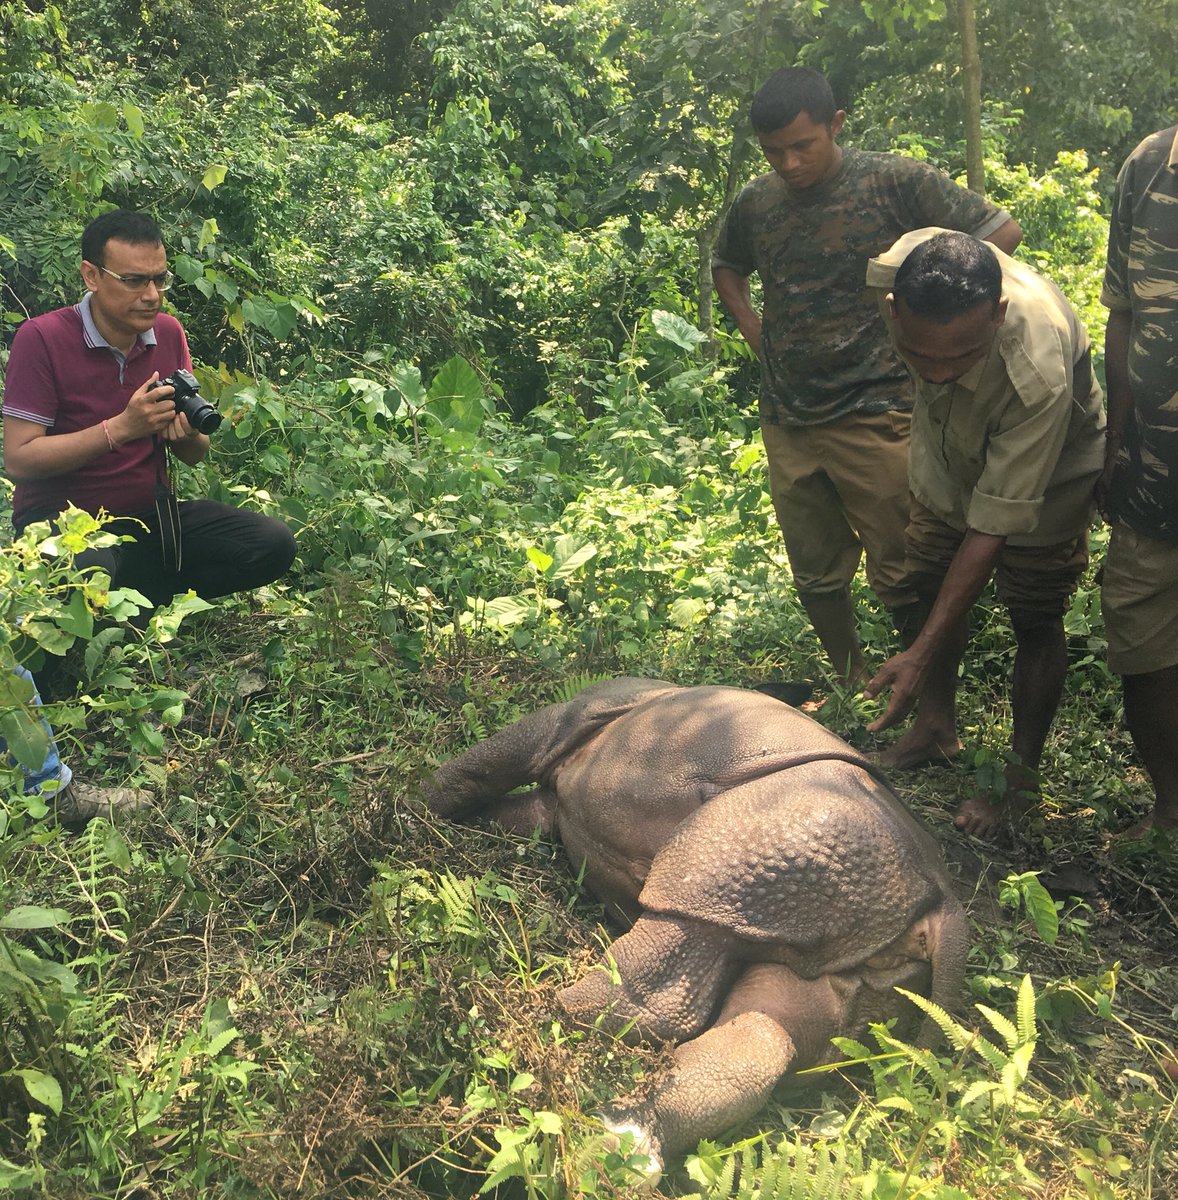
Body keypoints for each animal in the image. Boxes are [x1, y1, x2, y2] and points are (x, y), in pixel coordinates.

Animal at [424, 678, 968, 1168]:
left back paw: (518, 1023)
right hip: (850, 912)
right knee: (767, 1029)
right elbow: (502, 799)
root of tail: (942, 899)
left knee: (671, 954)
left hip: (763, 841)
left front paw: (411, 809)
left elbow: (483, 765)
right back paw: (617, 1147)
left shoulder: (572, 717)